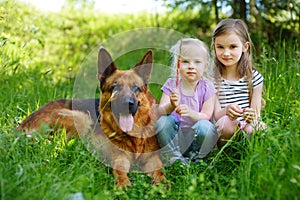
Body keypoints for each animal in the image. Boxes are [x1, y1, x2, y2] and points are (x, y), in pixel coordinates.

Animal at [17, 48, 166, 188]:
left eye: (136, 88)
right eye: (115, 87)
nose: (127, 104)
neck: (134, 137)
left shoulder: (153, 159)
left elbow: (160, 172)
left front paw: (163, 185)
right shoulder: (120, 158)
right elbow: (120, 172)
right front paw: (123, 185)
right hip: (81, 118)